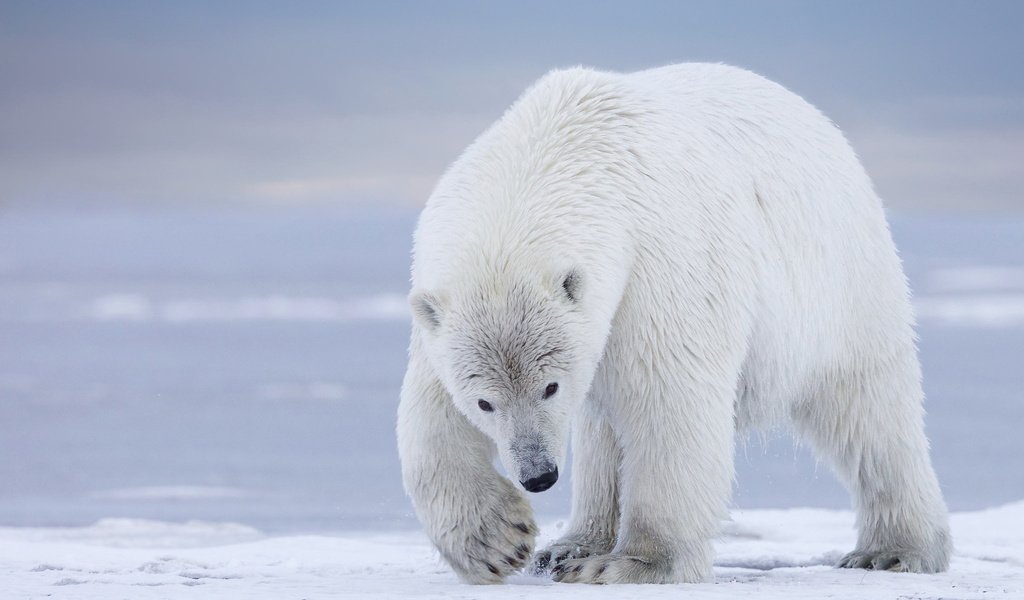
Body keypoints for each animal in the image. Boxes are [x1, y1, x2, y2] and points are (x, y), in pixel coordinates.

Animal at [393, 62, 950, 581]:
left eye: (550, 387)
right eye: (484, 402)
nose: (538, 476)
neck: (557, 150)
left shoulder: (660, 262)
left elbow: (669, 398)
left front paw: (635, 564)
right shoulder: (438, 310)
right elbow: (430, 415)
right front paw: (498, 542)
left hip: (840, 288)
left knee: (870, 414)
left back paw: (895, 550)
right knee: (601, 433)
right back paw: (572, 545)